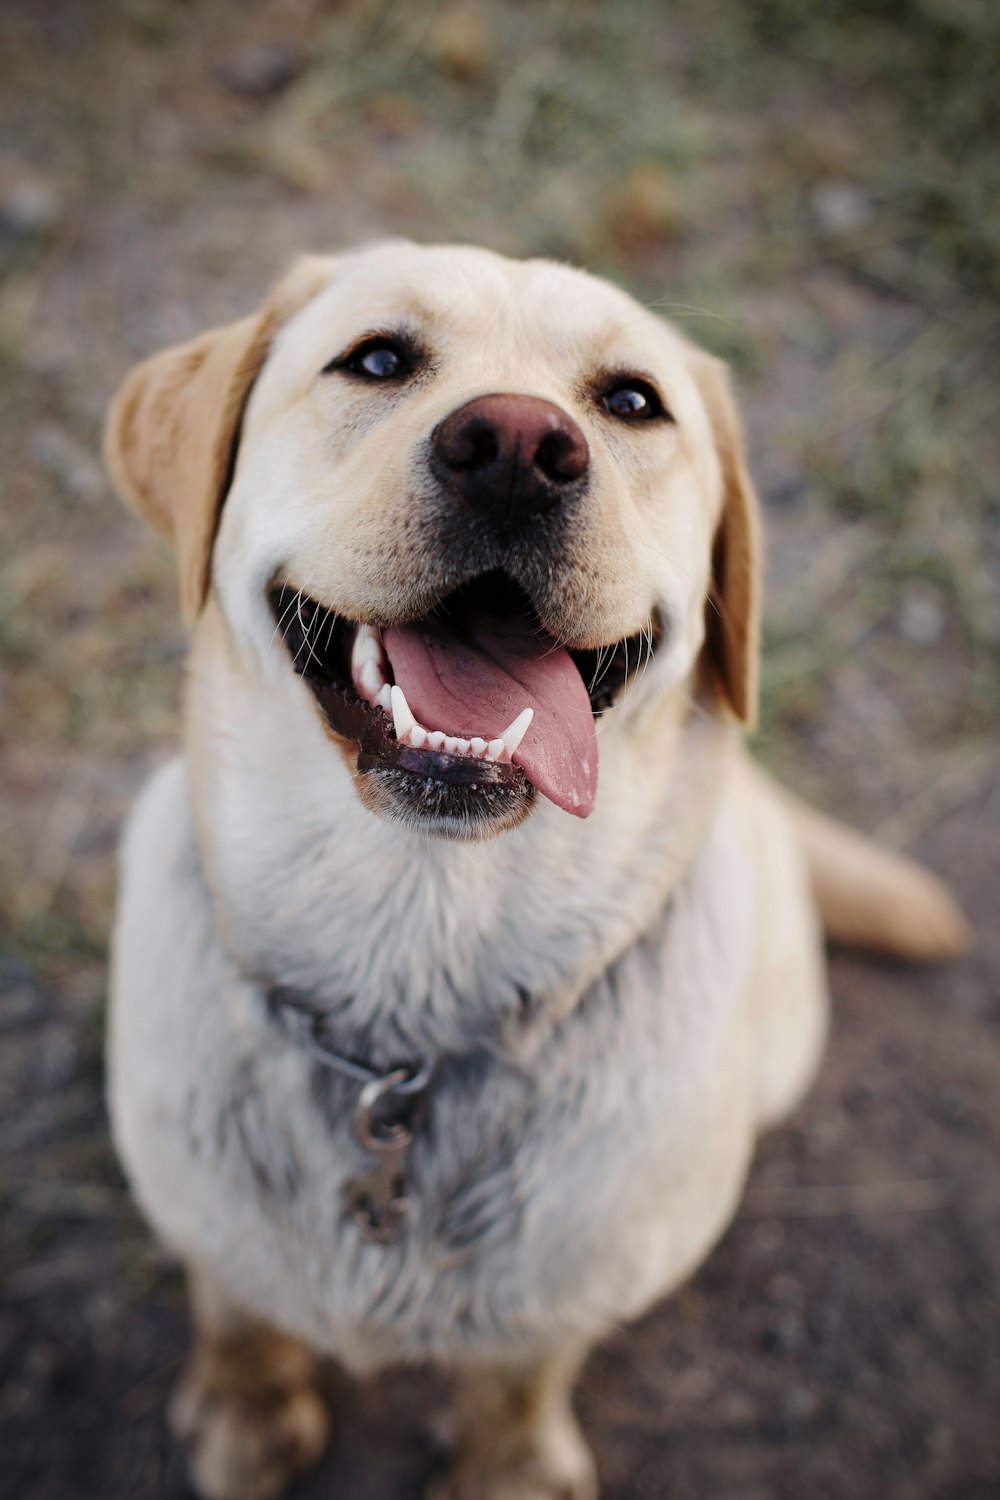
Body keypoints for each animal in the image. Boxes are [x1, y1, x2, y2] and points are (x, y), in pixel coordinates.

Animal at [103, 246, 971, 1500]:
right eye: (376, 359)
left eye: (631, 402)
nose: (515, 446)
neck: (415, 964)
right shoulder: (194, 1209)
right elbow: (235, 1303)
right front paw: (245, 1404)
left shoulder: (573, 1285)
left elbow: (521, 1373)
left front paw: (506, 1465)